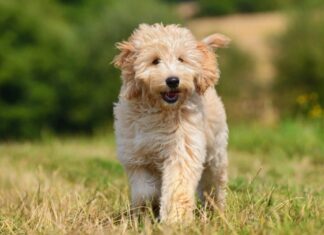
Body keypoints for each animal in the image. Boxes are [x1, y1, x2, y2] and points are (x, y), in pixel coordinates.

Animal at [112, 23, 229, 224]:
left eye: (181, 59)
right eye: (155, 60)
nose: (173, 80)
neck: (159, 110)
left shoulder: (182, 149)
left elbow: (177, 187)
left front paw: (176, 220)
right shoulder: (136, 156)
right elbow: (144, 191)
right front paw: (149, 207)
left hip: (215, 152)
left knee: (214, 183)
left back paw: (216, 209)